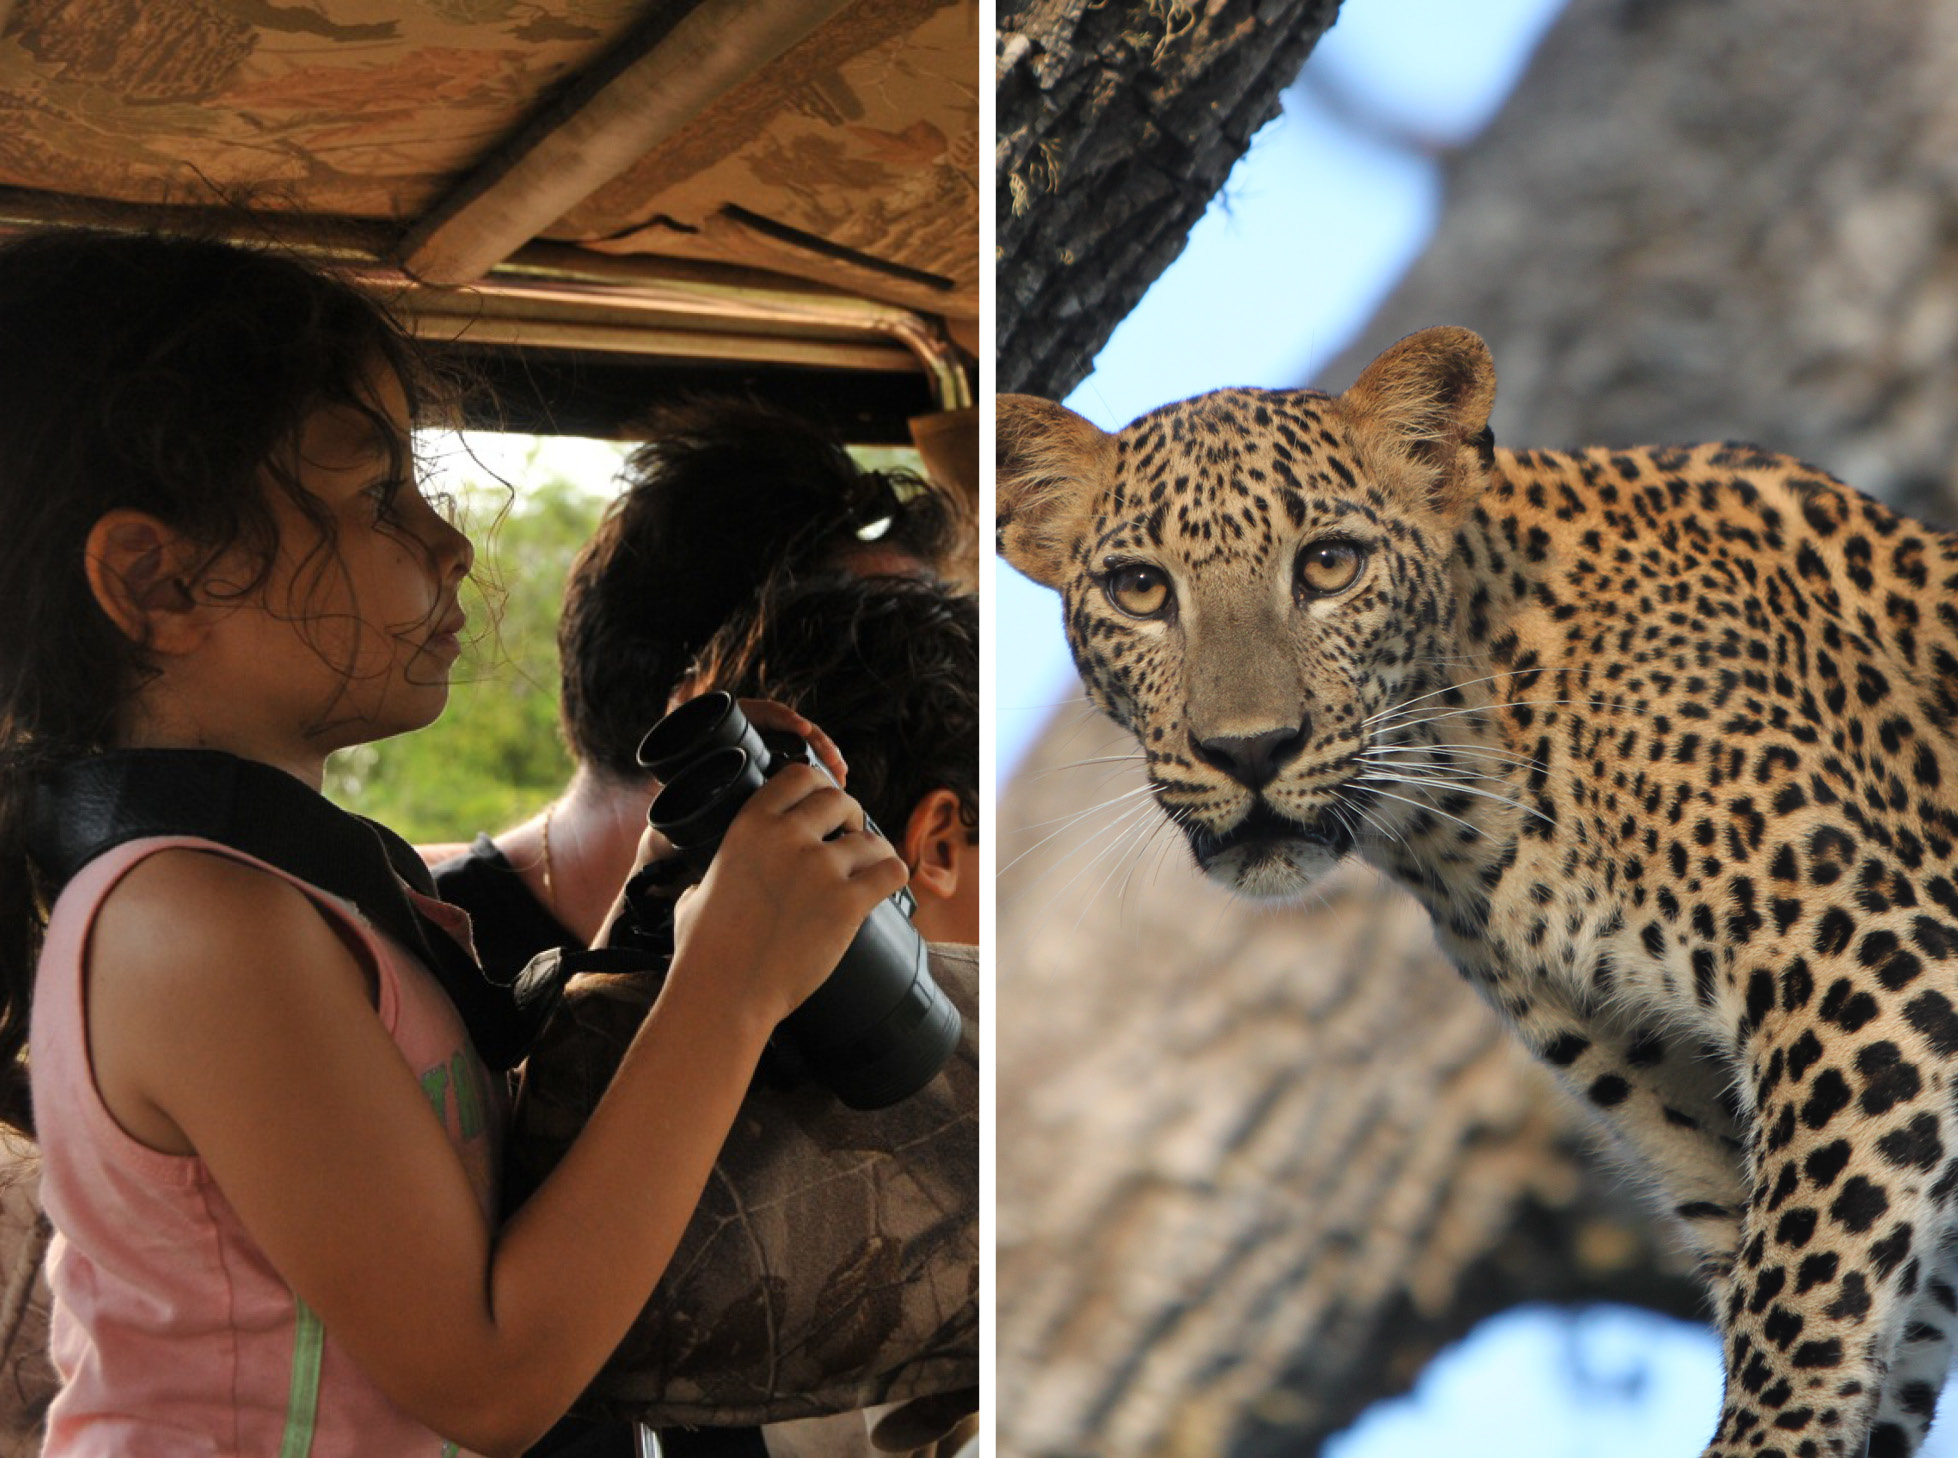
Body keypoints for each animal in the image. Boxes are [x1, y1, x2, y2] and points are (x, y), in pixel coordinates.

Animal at [994, 330, 1958, 1456]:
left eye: (1329, 565)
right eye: (1140, 589)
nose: (1249, 750)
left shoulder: (1871, 963)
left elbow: (1800, 1303)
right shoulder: (1712, 1139)